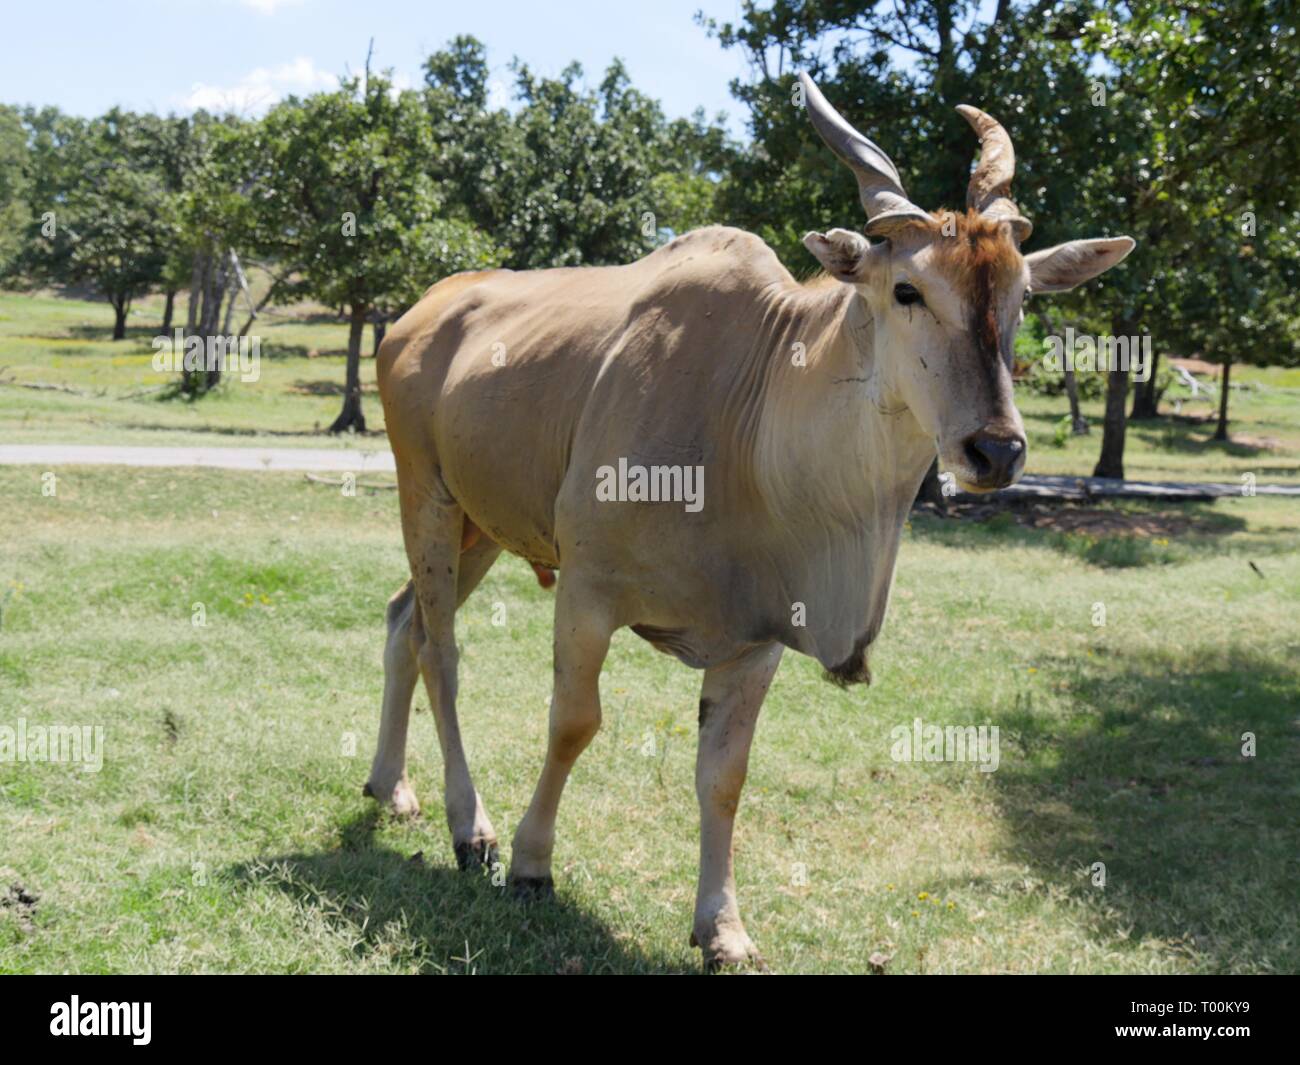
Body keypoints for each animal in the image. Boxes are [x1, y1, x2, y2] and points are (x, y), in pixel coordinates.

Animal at [363, 74, 1135, 969]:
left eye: (1021, 298)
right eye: (907, 290)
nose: (996, 449)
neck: (748, 411)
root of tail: (420, 313)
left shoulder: (754, 640)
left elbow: (723, 774)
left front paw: (722, 927)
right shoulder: (588, 593)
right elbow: (574, 723)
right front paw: (530, 865)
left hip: (481, 527)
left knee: (403, 619)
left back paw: (391, 786)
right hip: (427, 493)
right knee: (440, 647)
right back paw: (470, 828)